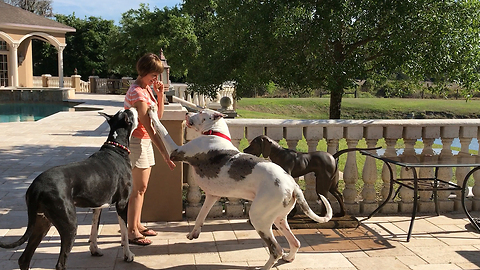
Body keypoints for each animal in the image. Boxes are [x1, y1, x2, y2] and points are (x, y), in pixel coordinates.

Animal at [0, 108, 138, 268]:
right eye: (129, 113)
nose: (133, 108)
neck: (116, 147)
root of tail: (36, 187)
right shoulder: (122, 203)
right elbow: (124, 232)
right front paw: (128, 255)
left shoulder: (97, 206)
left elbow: (94, 229)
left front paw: (94, 249)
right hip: (69, 225)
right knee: (60, 263)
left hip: (41, 222)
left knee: (24, 258)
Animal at [148, 107, 332, 270]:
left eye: (200, 112)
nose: (186, 113)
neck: (215, 133)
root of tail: (293, 185)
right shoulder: (212, 196)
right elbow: (200, 216)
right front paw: (193, 234)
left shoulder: (175, 151)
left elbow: (162, 129)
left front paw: (152, 112)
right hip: (279, 219)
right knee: (295, 242)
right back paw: (289, 258)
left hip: (259, 218)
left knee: (276, 249)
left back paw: (265, 267)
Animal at [246, 135, 380, 217]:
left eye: (253, 144)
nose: (245, 150)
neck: (279, 153)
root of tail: (333, 157)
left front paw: (291, 213)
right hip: (331, 184)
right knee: (338, 195)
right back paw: (341, 213)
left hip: (322, 183)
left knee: (326, 199)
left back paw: (324, 215)